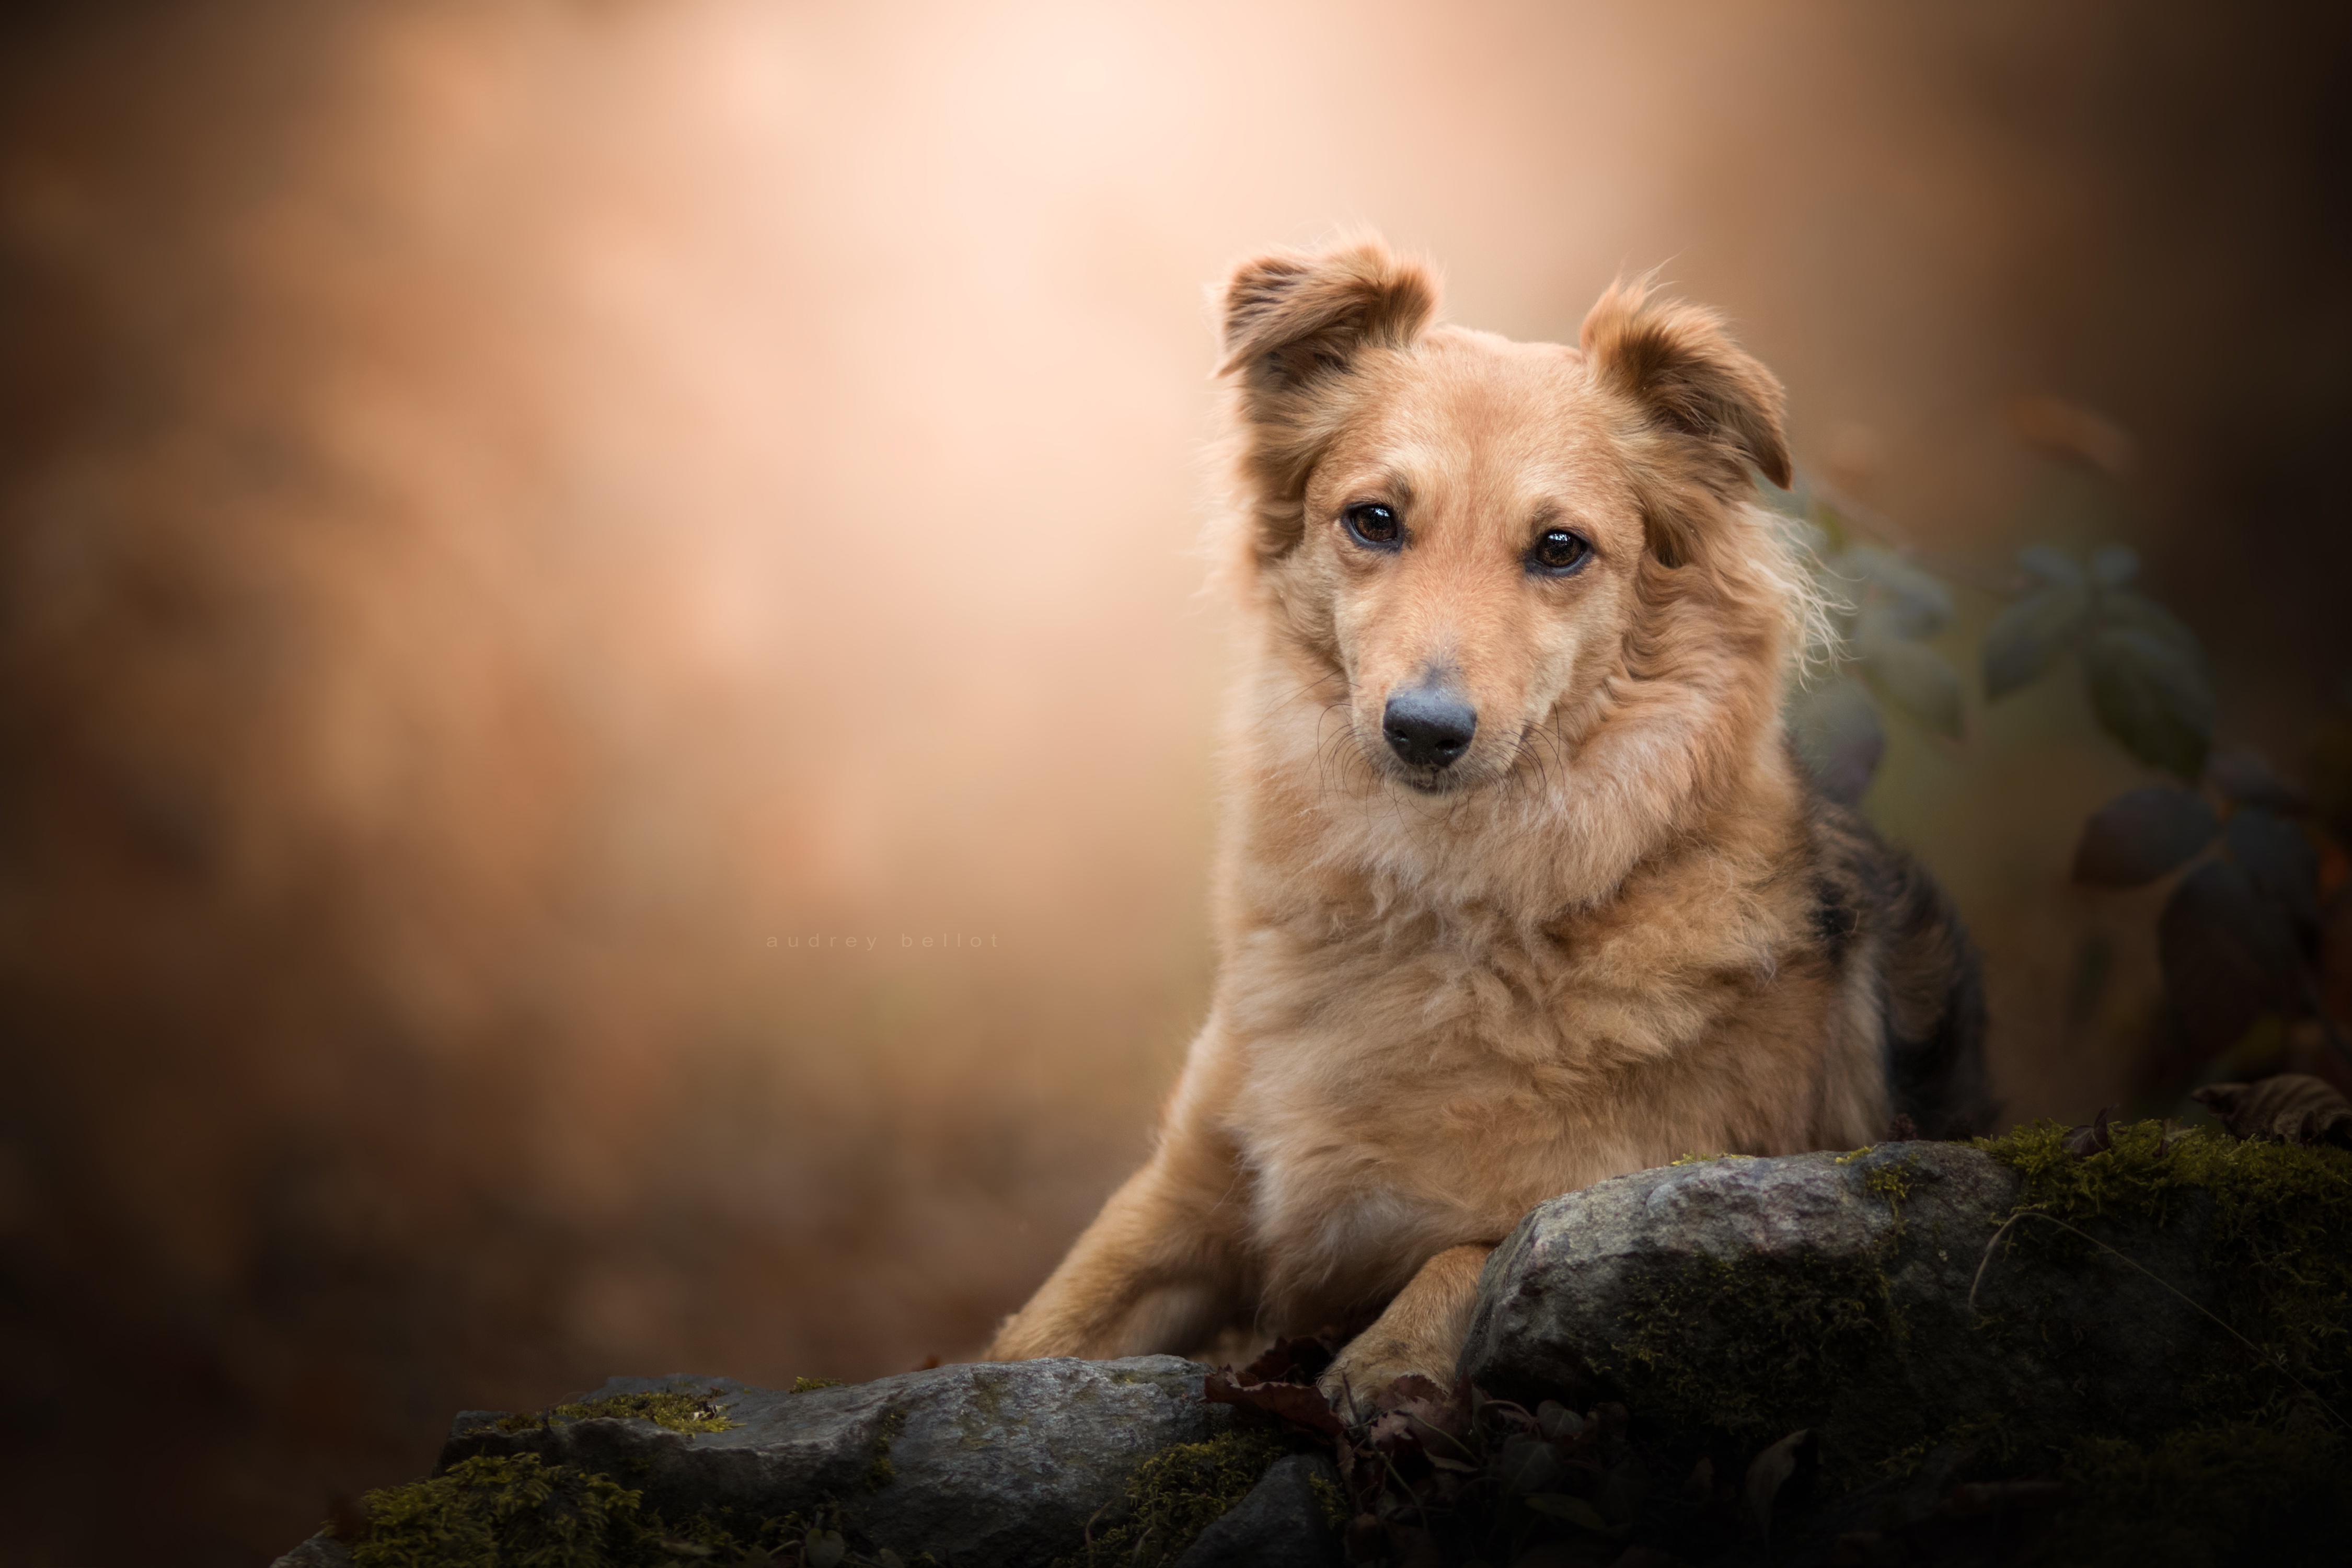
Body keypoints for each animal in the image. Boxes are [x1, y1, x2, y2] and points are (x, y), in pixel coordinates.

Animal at [983, 236, 1994, 1410]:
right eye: (1374, 520)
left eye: (1560, 548)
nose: (1425, 731)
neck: (1443, 903)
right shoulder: (1184, 1201)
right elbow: (1029, 1341)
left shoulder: (1633, 1191)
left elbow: (1477, 1254)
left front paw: (1389, 1365)